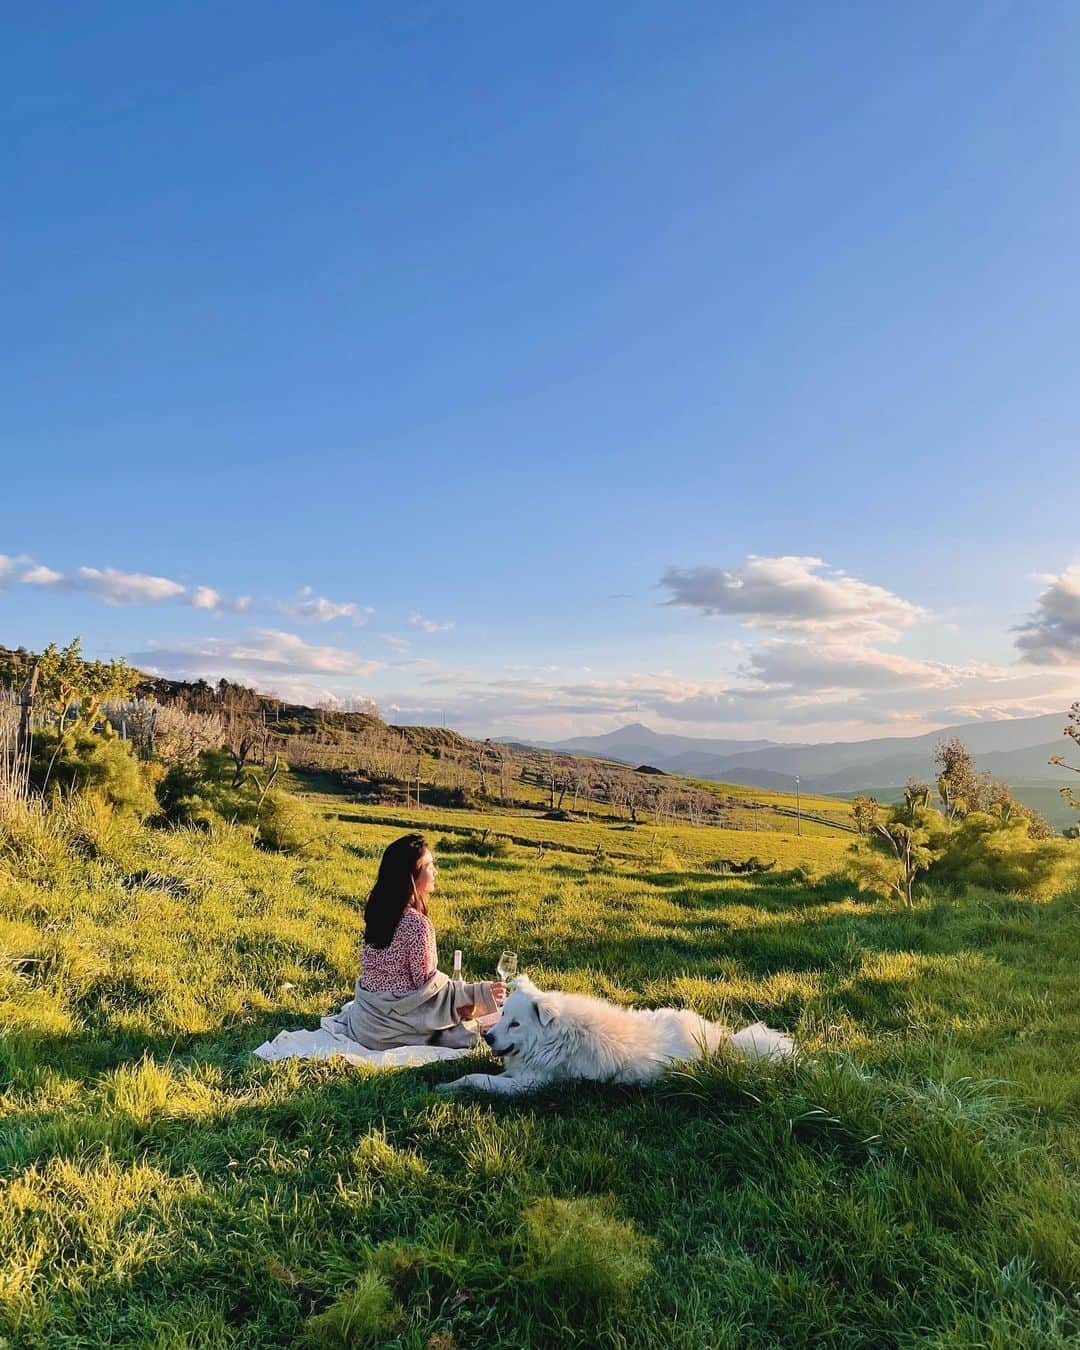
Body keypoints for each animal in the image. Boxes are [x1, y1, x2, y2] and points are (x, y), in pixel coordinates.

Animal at [434, 977, 799, 1090]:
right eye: (502, 1015)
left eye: (515, 1024)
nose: (488, 1038)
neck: (555, 1036)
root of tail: (723, 1040)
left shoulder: (530, 1084)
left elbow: (479, 1078)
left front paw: (447, 1086)